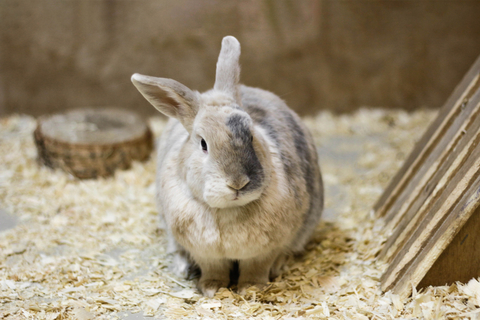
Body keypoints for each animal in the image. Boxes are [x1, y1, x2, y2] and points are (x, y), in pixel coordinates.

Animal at [131, 35, 322, 298]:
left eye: (251, 135)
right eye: (203, 144)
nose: (238, 183)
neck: (227, 210)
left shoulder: (264, 251)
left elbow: (256, 268)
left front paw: (251, 289)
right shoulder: (206, 254)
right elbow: (214, 269)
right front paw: (213, 289)